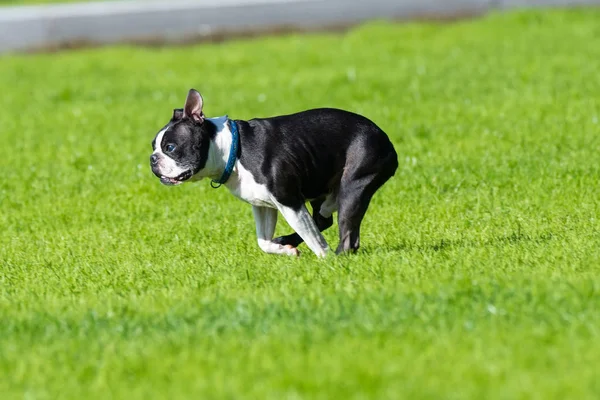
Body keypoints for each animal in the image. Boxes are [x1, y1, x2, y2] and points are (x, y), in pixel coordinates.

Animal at [150, 89, 398, 258]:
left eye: (170, 147)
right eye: (154, 146)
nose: (152, 159)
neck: (232, 150)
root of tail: (385, 137)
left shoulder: (289, 201)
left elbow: (313, 237)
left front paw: (324, 259)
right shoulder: (263, 205)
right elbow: (263, 241)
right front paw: (283, 250)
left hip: (353, 185)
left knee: (345, 234)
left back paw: (337, 257)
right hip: (321, 188)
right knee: (322, 219)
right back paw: (287, 241)